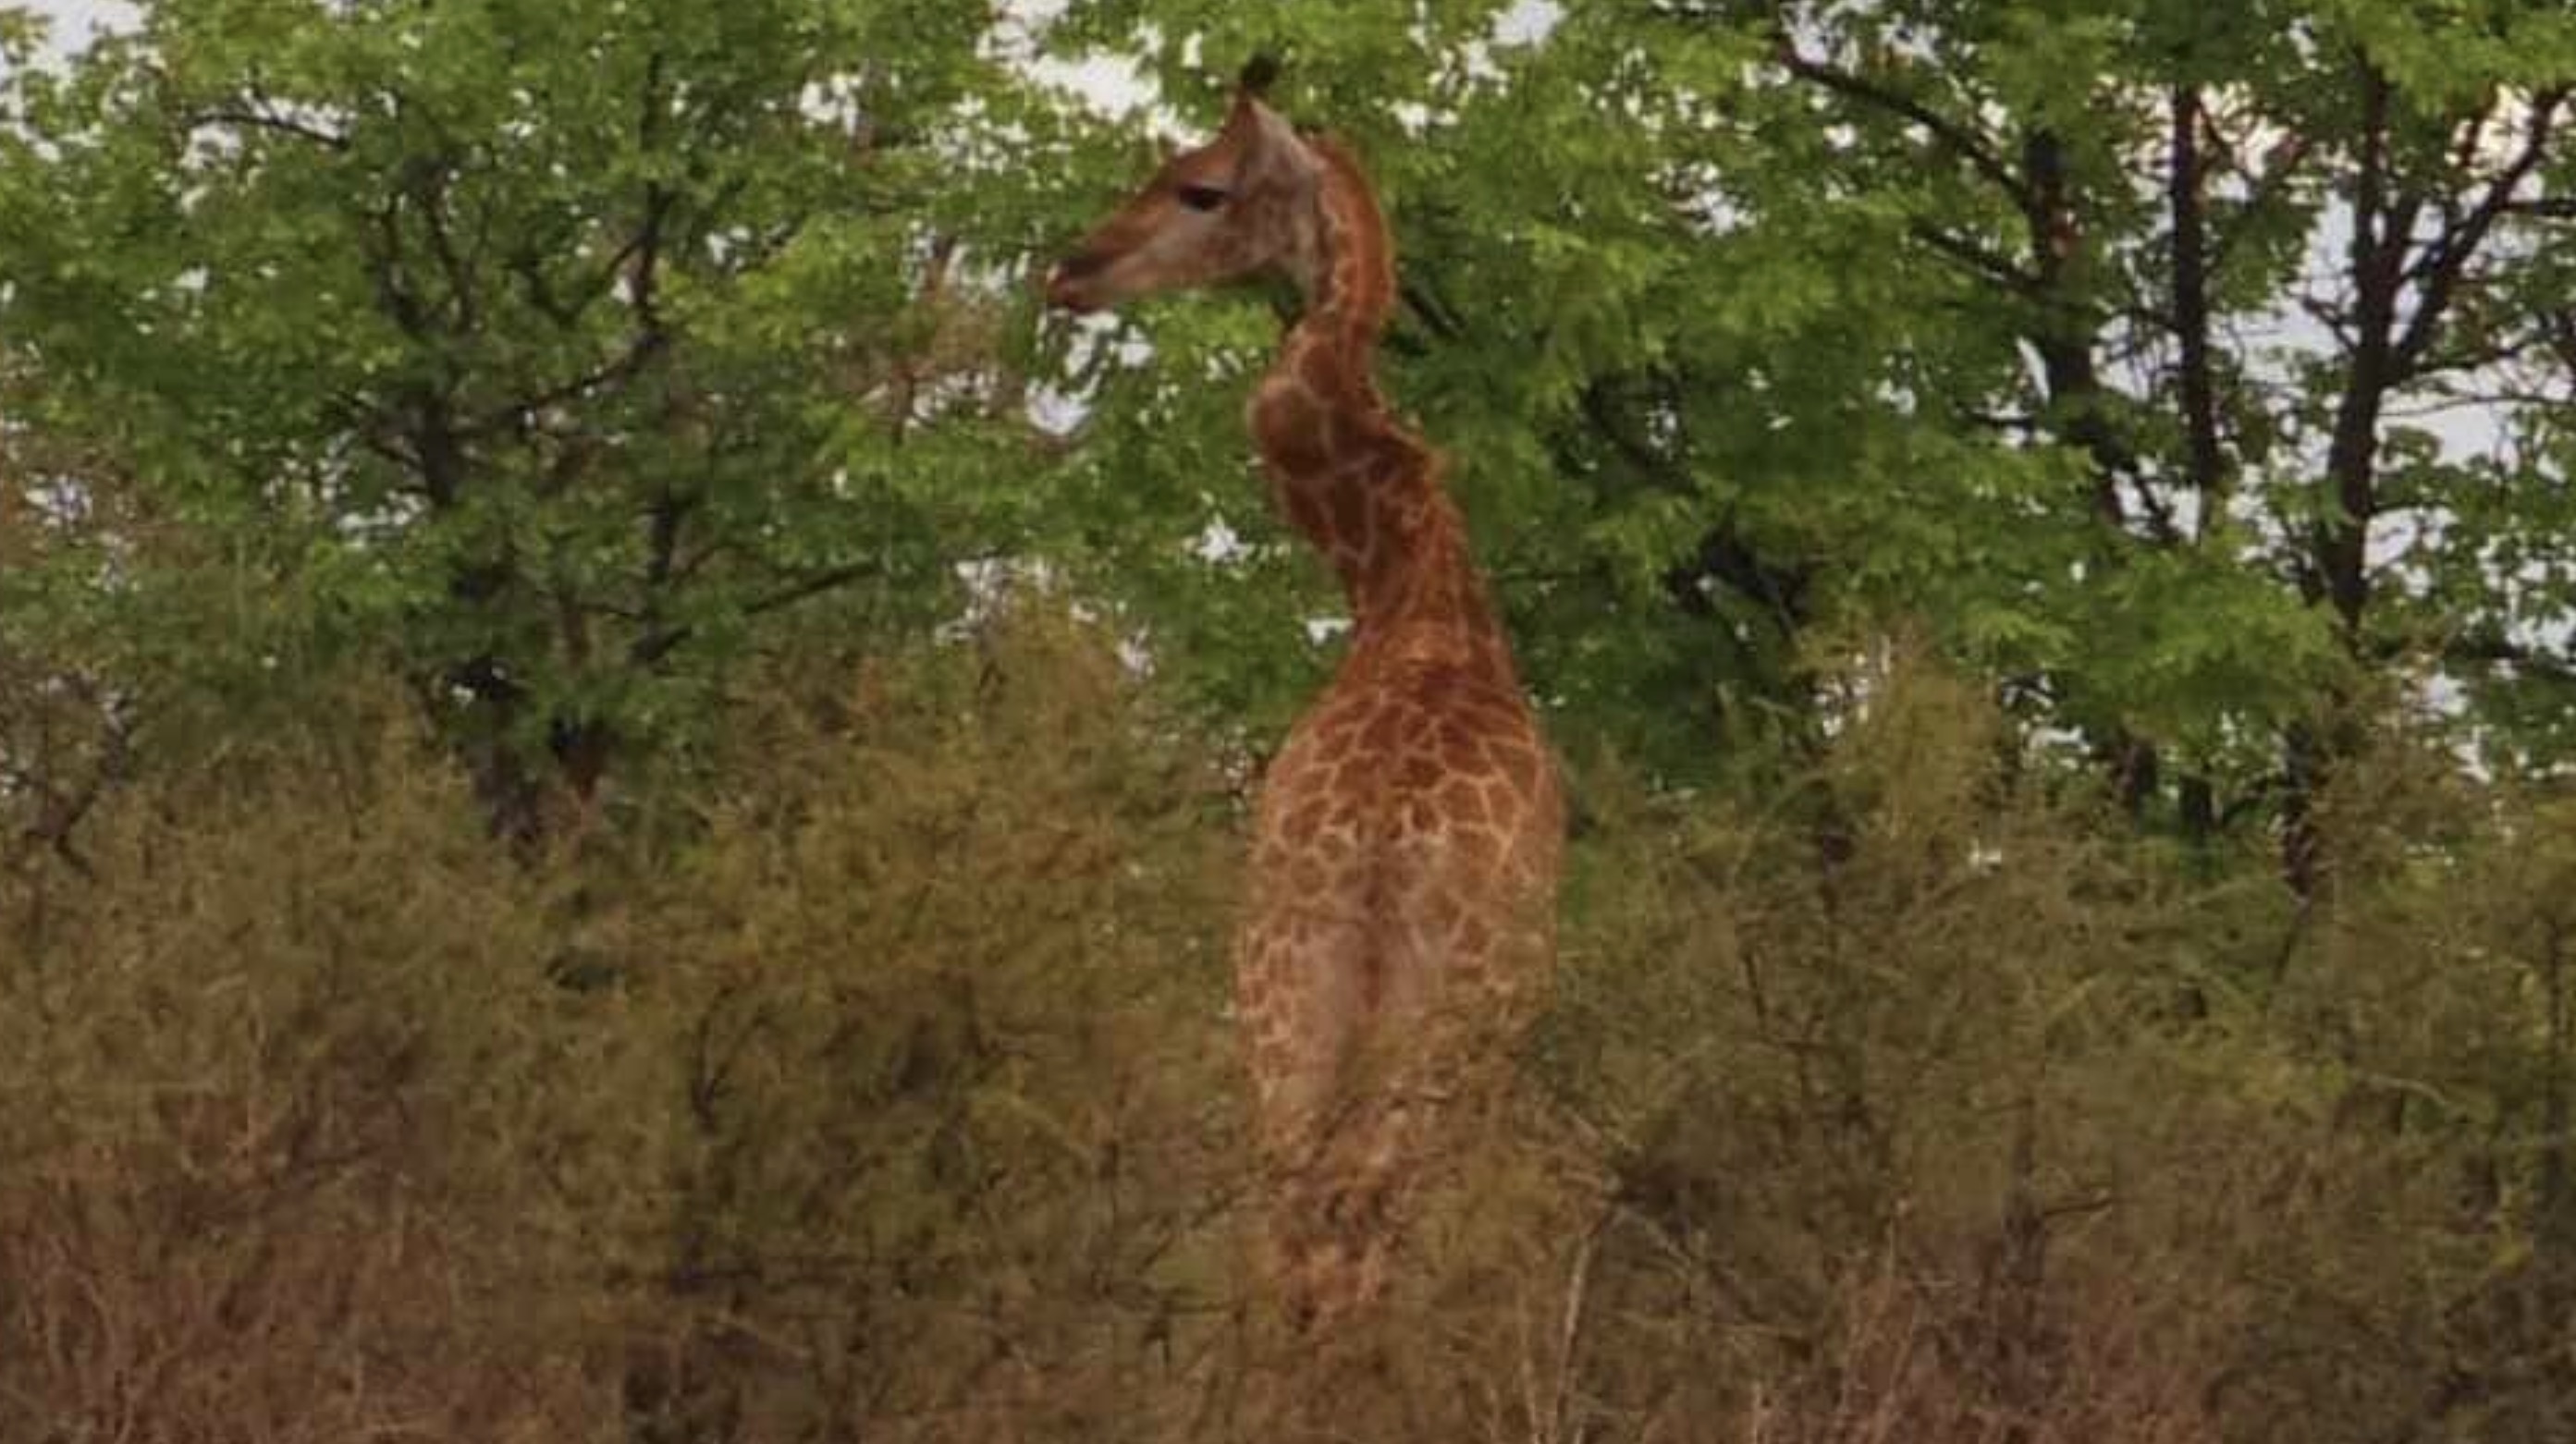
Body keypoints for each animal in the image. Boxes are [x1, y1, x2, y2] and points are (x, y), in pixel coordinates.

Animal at [1046, 61, 1565, 1338]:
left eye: (1200, 185)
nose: (1068, 270)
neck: (1407, 591)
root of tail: (1382, 844)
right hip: (1430, 1025)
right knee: (1352, 1228)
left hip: (1279, 996)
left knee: (1290, 1222)